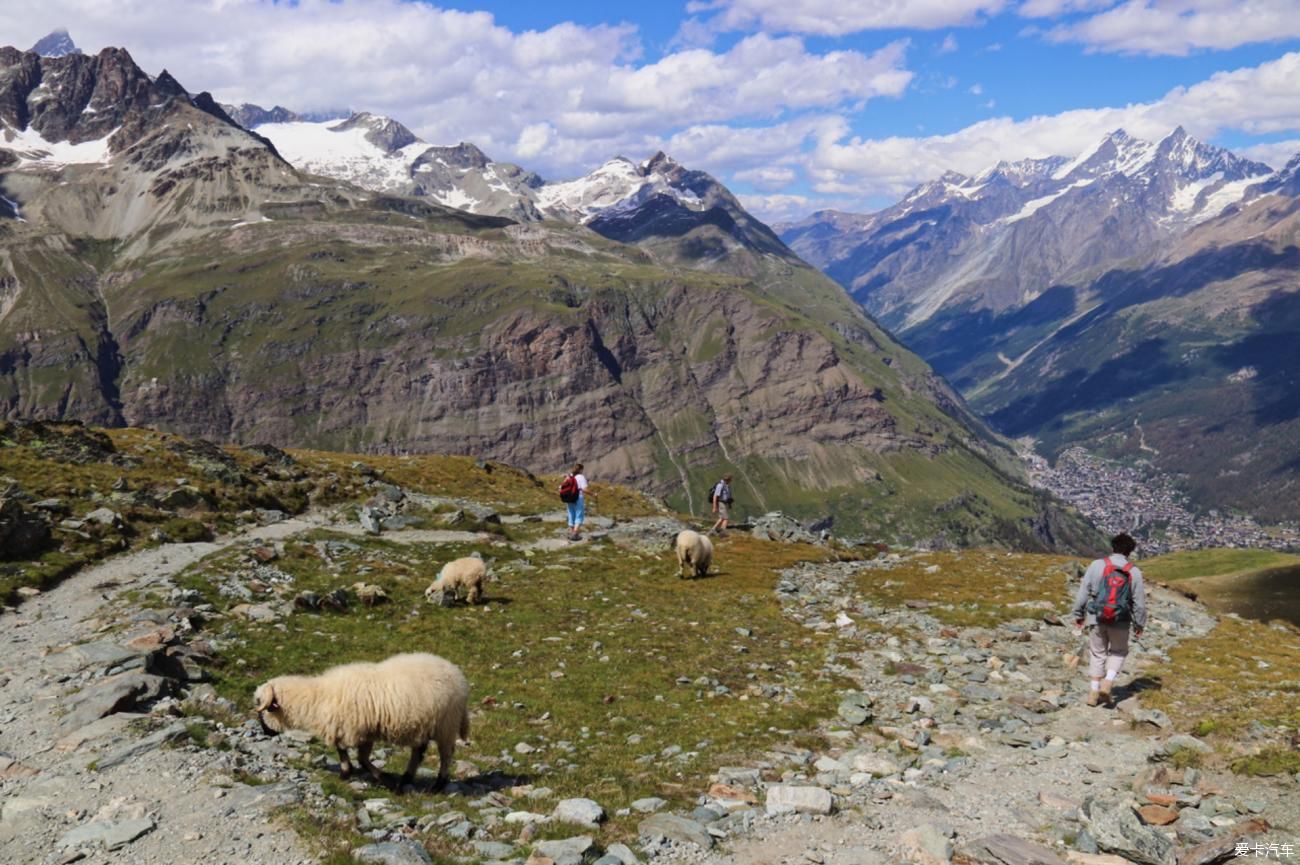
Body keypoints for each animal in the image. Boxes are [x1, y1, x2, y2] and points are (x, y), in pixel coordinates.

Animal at [250, 655, 470, 790]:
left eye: (263, 706)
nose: (266, 733)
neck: (317, 697)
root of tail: (459, 677)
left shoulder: (357, 729)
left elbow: (359, 758)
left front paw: (383, 779)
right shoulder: (354, 729)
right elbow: (348, 753)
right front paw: (347, 773)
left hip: (446, 724)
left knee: (446, 755)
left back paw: (438, 784)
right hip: (424, 725)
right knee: (419, 752)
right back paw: (406, 778)